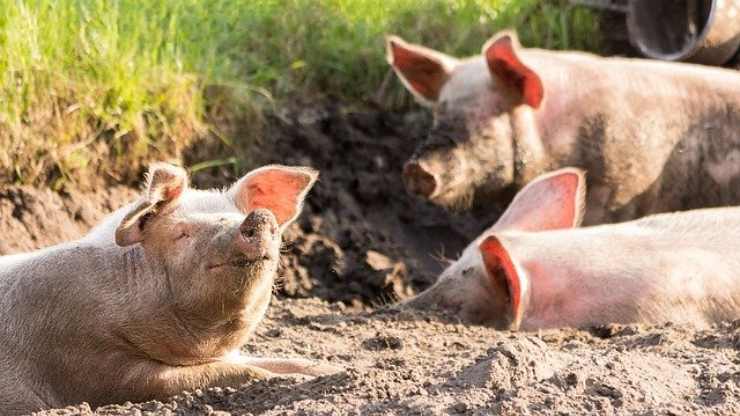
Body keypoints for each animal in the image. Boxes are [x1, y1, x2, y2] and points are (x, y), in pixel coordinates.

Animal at [0, 163, 337, 415]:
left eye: (238, 216)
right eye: (182, 234)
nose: (259, 216)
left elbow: (278, 361)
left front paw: (326, 370)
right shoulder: (91, 363)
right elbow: (232, 374)